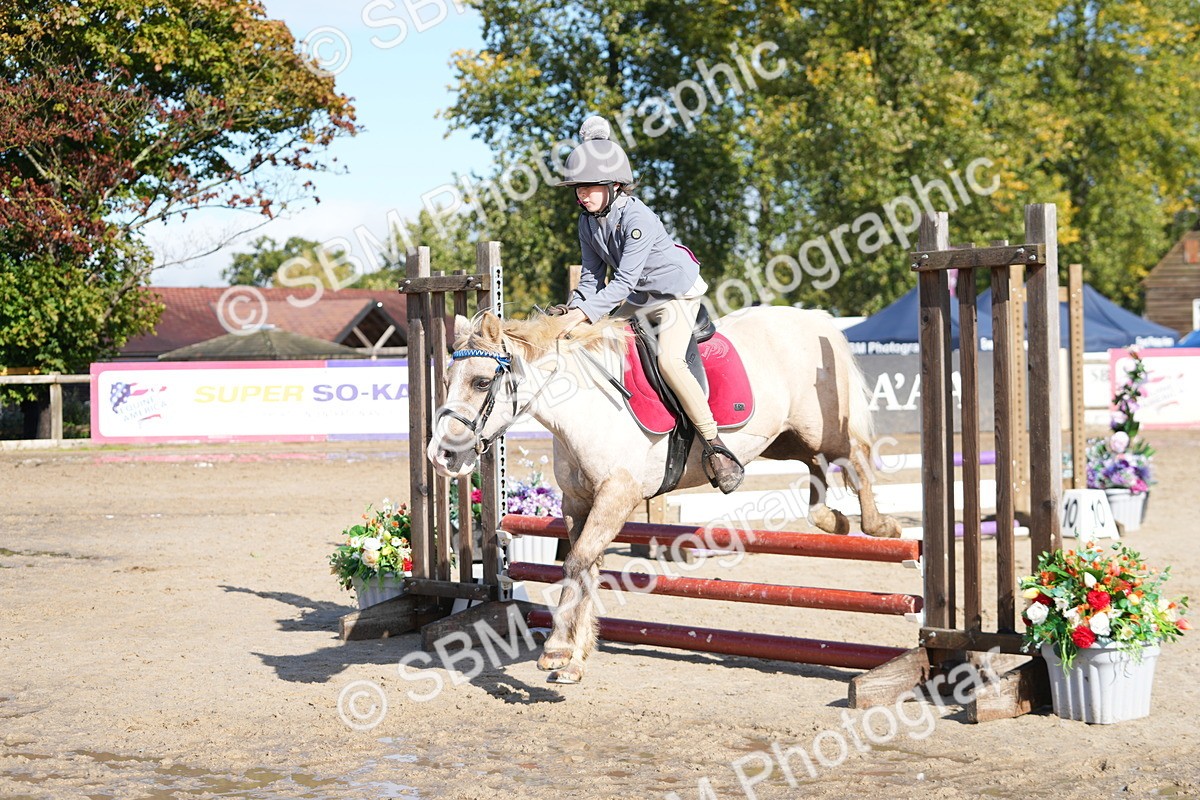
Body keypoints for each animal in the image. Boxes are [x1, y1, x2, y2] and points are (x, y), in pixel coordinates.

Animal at [427, 307, 902, 684]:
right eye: (446, 379)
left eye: (482, 382)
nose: (441, 456)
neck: (582, 407)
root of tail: (813, 318)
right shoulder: (579, 502)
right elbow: (586, 568)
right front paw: (577, 660)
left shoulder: (618, 494)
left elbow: (578, 563)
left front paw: (557, 650)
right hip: (784, 440)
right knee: (816, 466)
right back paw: (833, 520)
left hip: (820, 429)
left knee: (856, 457)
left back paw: (881, 525)